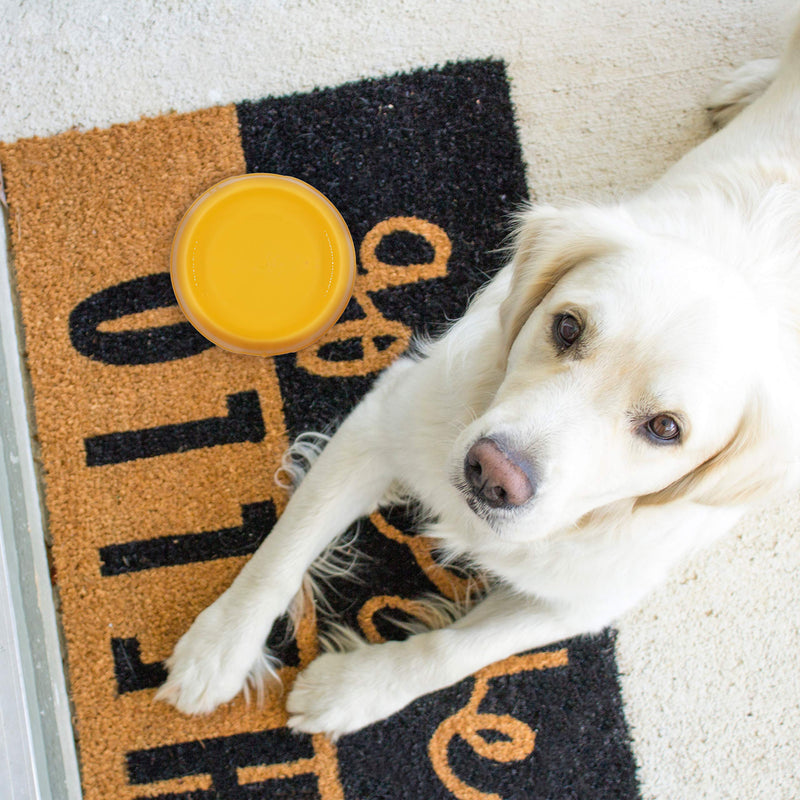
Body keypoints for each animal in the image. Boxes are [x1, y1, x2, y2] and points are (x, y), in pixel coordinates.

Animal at [158, 25, 800, 736]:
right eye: (567, 327)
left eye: (666, 429)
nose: (493, 474)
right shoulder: (386, 418)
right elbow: (284, 548)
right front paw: (219, 647)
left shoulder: (585, 599)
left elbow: (454, 651)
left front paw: (355, 689)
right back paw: (748, 85)